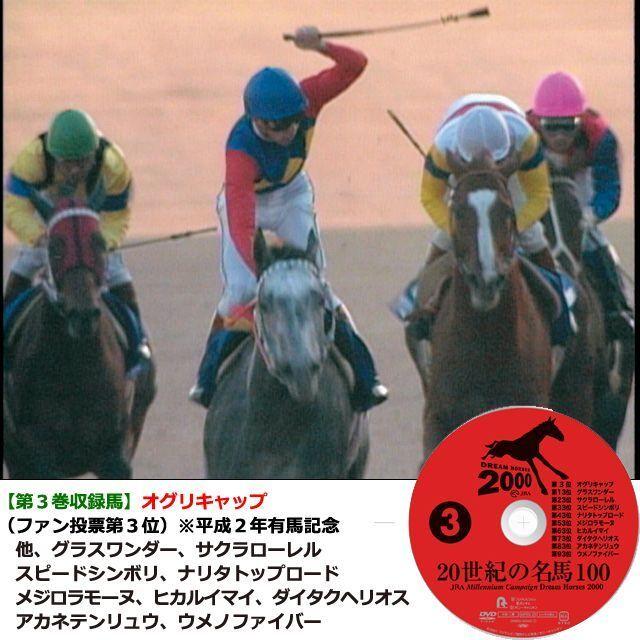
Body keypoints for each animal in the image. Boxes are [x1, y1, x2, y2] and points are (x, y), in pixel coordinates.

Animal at [3, 205, 156, 478]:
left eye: (99, 244)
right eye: (56, 248)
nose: (82, 314)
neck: (75, 367)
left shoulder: (117, 450)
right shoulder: (36, 450)